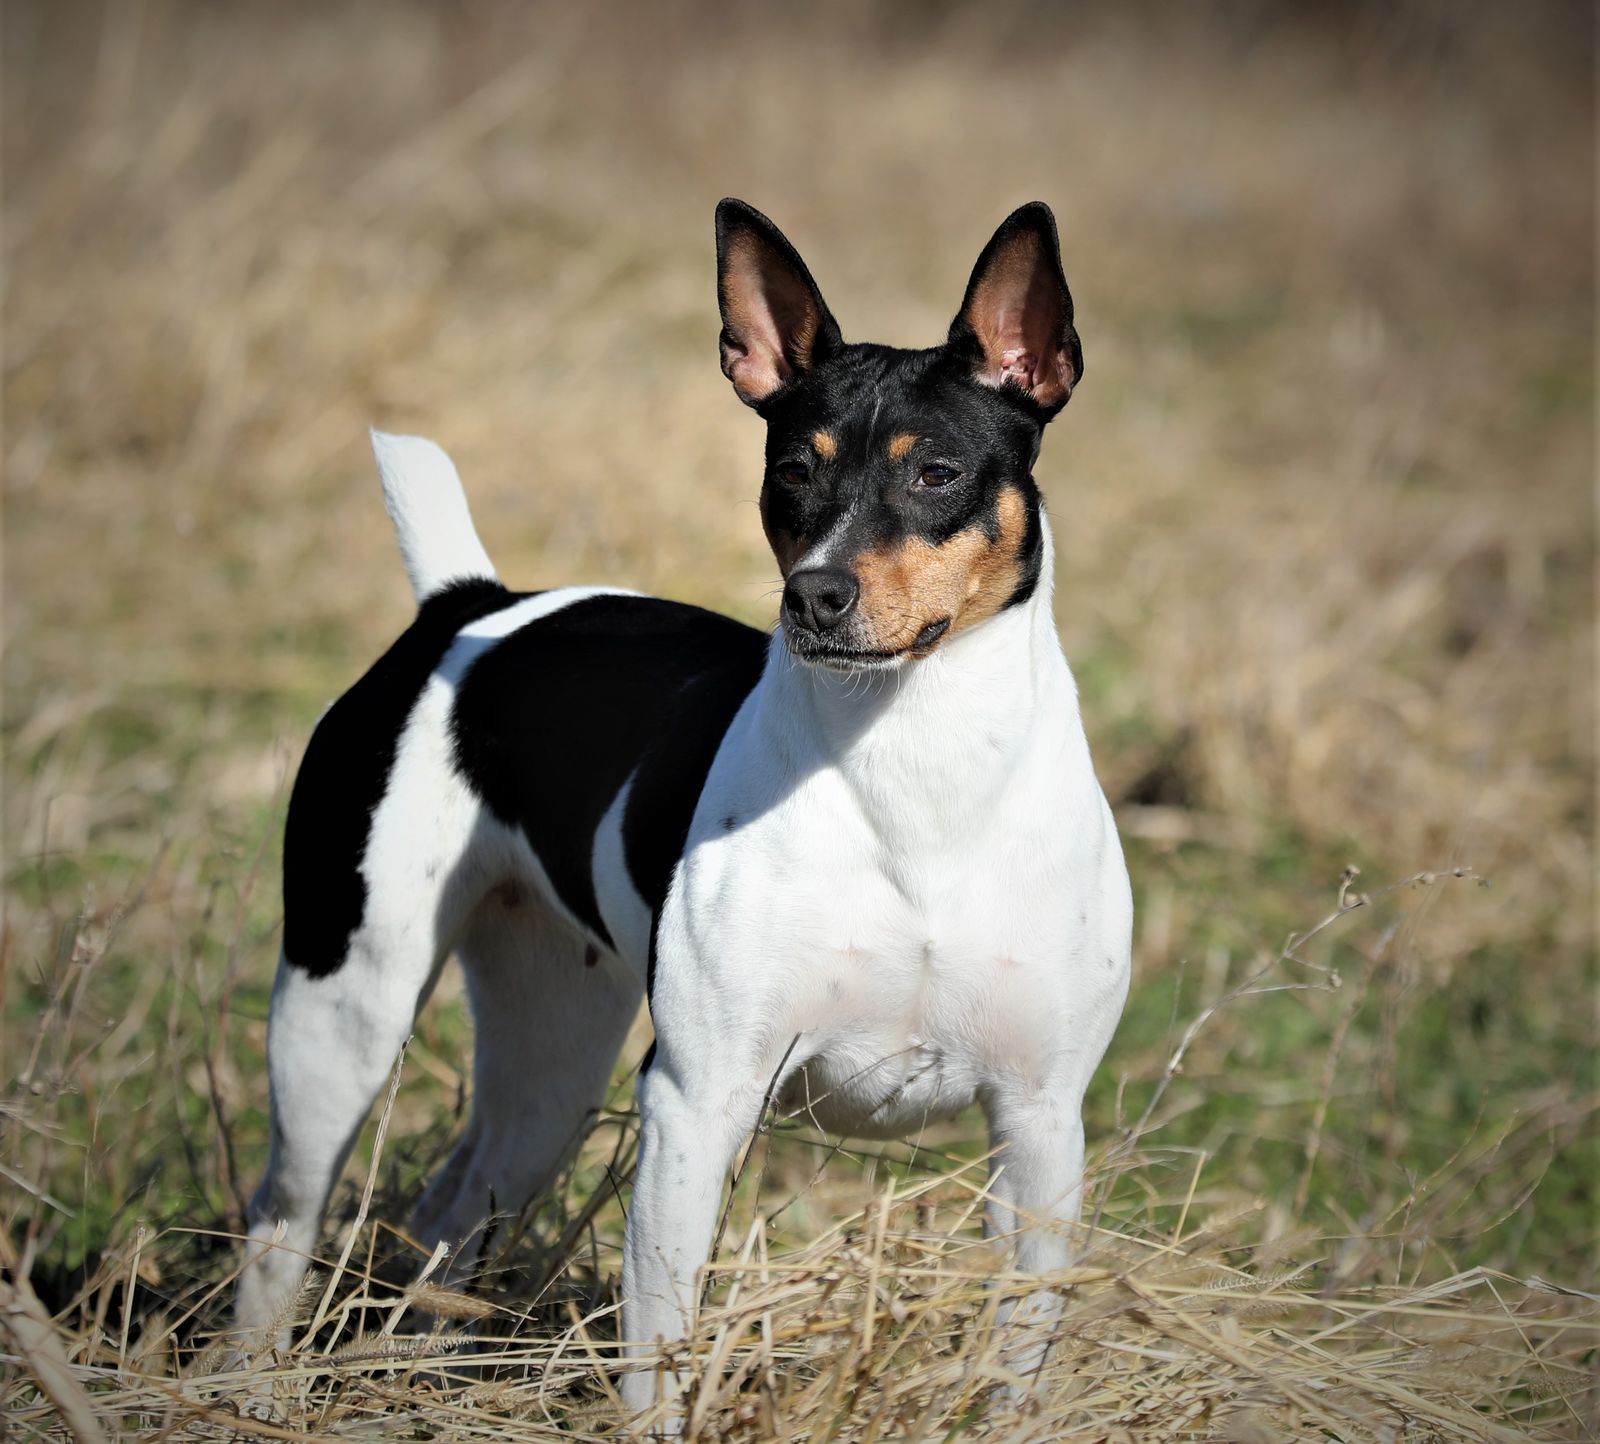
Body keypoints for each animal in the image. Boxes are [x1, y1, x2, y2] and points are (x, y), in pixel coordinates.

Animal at [240, 197, 1139, 1421]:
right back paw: (242, 1387)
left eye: (940, 472)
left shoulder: (1041, 1126)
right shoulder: (695, 1101)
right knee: (281, 1220)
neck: (914, 763)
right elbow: (658, 1351)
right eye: (790, 472)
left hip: (552, 1056)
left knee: (452, 1209)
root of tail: (467, 607)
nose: (816, 595)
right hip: (344, 1018)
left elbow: (1017, 1361)